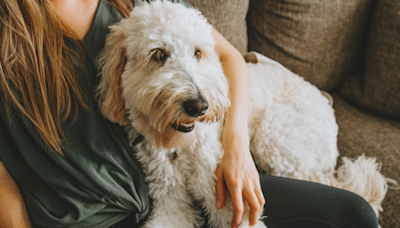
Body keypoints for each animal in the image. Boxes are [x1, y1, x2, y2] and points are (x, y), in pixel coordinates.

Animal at [97, 0, 390, 227]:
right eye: (158, 54)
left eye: (198, 53)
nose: (199, 106)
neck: (179, 147)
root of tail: (327, 104)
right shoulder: (170, 203)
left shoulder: (228, 201)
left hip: (274, 139)